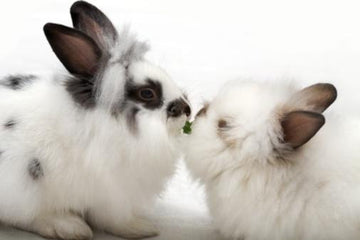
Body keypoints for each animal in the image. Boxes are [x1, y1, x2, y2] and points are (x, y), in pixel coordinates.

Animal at [0, 0, 191, 239]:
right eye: (147, 93)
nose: (187, 109)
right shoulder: (112, 192)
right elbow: (114, 219)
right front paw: (141, 228)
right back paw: (70, 226)